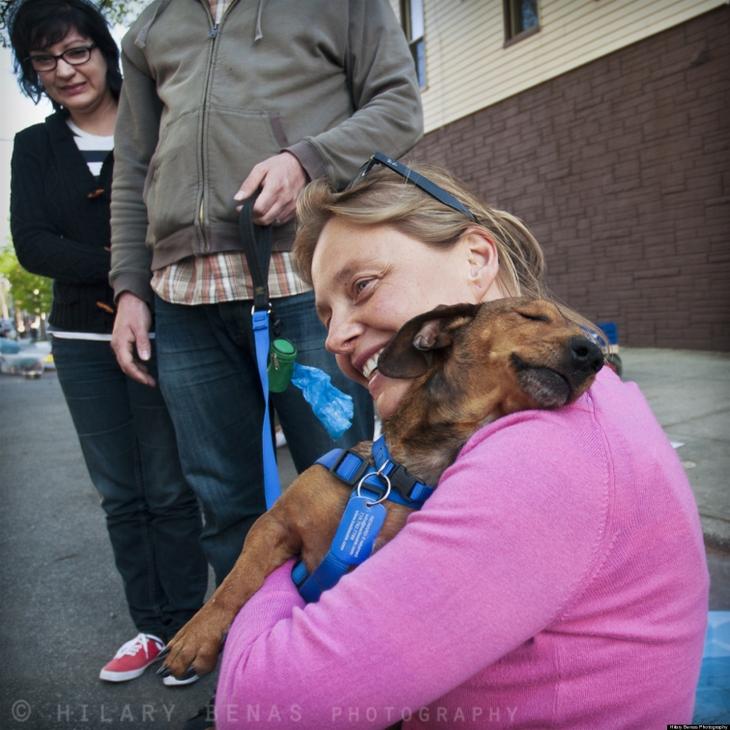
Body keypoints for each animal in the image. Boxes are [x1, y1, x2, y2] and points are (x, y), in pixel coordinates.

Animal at [161, 296, 604, 676]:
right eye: (531, 315)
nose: (596, 356)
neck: (395, 476)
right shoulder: (274, 524)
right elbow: (235, 582)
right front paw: (195, 636)